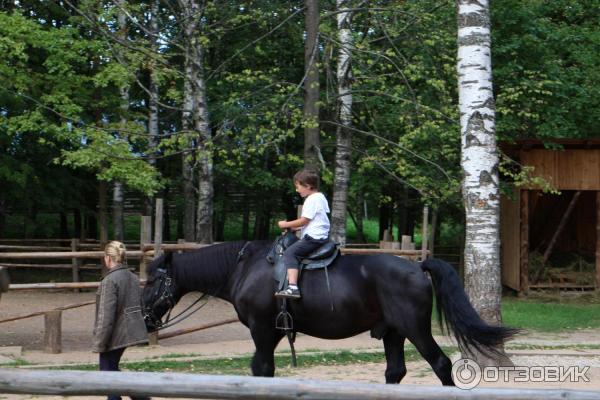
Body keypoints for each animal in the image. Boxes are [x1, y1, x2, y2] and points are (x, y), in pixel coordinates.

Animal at [143, 238, 516, 384]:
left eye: (151, 281)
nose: (145, 317)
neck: (244, 268)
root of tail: (417, 266)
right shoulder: (273, 333)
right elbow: (265, 370)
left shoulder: (262, 330)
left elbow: (260, 369)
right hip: (393, 332)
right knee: (395, 371)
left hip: (415, 329)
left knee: (440, 364)